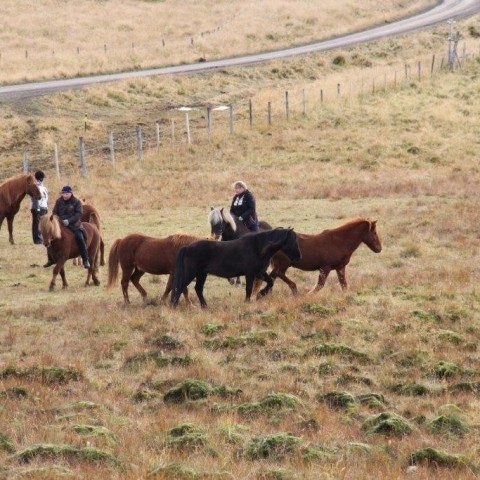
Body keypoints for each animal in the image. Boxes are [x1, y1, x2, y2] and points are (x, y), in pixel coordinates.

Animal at [172, 228, 300, 310]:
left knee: (198, 289)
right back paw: (173, 307)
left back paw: (205, 307)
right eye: (292, 241)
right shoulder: (250, 273)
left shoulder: (260, 272)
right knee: (180, 287)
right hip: (191, 273)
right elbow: (248, 289)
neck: (258, 248)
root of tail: (187, 248)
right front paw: (247, 302)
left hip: (202, 274)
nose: (299, 256)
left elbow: (270, 282)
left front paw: (260, 294)